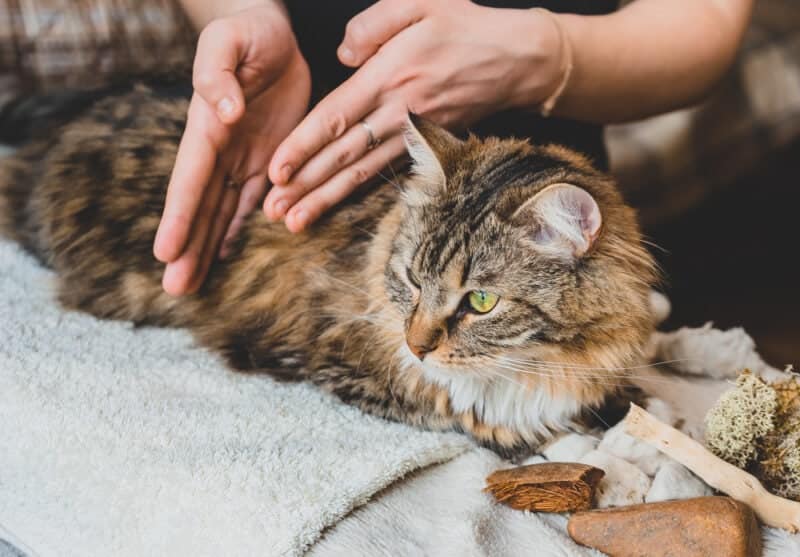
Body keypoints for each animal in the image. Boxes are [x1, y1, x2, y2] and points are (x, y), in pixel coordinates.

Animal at [0, 82, 656, 456]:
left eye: (481, 302)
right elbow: (474, 419)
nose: (417, 346)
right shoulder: (322, 360)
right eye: (412, 280)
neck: (540, 367)